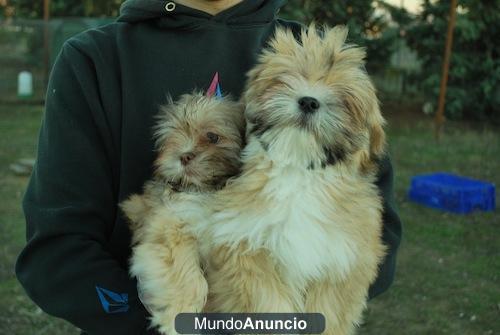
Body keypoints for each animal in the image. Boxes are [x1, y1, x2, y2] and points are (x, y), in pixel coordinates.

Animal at [122, 92, 245, 335]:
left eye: (212, 136)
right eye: (171, 139)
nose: (183, 156)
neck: (207, 190)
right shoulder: (171, 225)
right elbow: (186, 271)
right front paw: (179, 314)